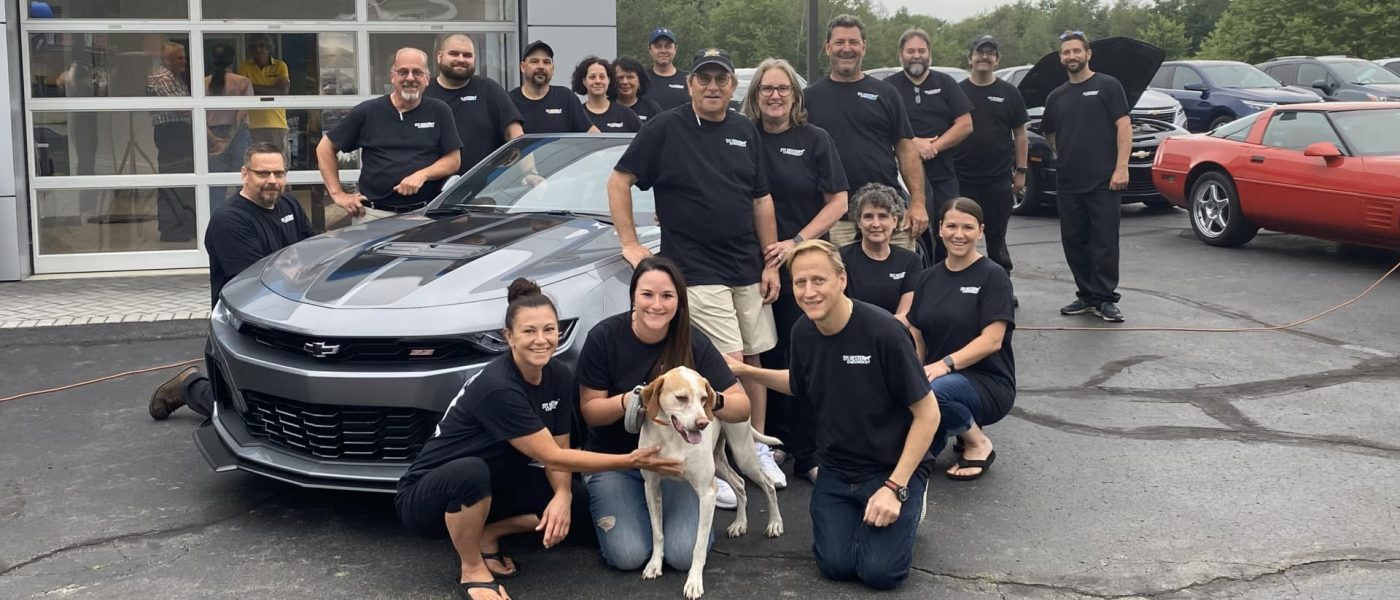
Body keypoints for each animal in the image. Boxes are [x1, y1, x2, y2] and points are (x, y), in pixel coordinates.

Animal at [637, 366, 784, 599]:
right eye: (681, 398)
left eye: (704, 399)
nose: (703, 423)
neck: (672, 437)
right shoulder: (651, 487)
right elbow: (657, 532)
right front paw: (654, 565)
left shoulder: (707, 494)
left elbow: (698, 544)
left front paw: (694, 582)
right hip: (719, 463)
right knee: (740, 484)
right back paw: (740, 524)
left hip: (743, 456)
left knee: (768, 485)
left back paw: (775, 524)